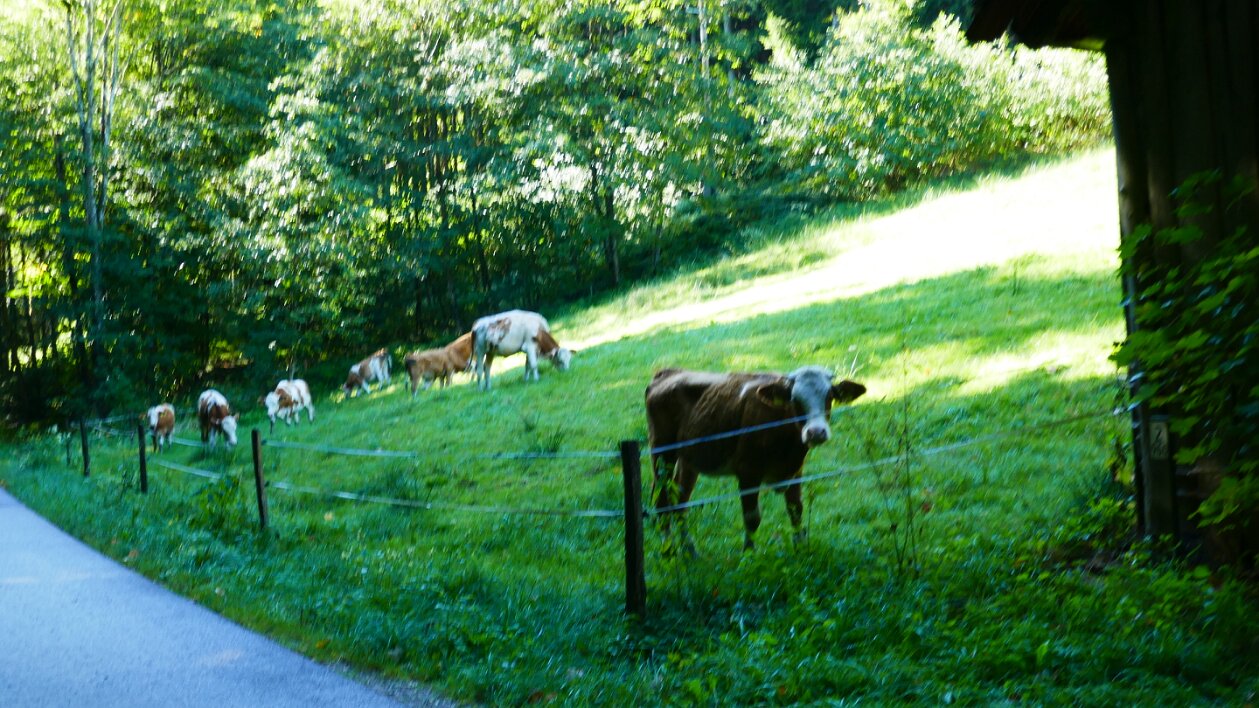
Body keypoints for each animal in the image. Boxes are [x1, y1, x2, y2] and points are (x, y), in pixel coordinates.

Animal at [645, 366, 866, 552]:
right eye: (794, 399)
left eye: (830, 396)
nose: (816, 432)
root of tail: (668, 372)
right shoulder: (747, 472)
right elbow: (752, 518)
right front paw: (749, 555)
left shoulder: (795, 470)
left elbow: (796, 509)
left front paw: (801, 548)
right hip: (662, 454)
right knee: (661, 501)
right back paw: (668, 552)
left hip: (688, 460)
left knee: (679, 502)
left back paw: (690, 552)